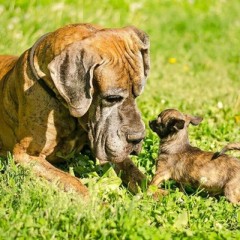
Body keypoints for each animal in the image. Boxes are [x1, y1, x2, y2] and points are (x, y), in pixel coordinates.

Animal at [0, 23, 150, 197]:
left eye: (137, 95)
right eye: (112, 98)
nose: (137, 138)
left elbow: (132, 169)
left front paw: (154, 190)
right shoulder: (25, 155)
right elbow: (72, 181)